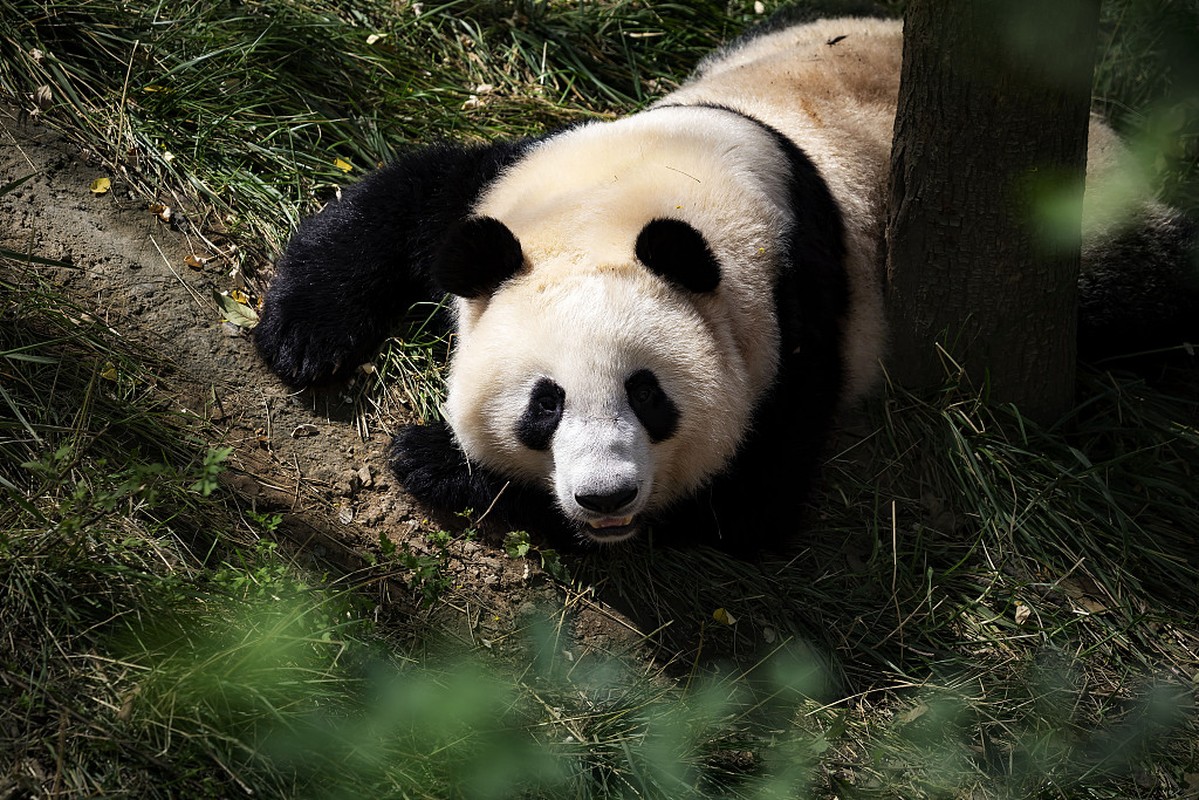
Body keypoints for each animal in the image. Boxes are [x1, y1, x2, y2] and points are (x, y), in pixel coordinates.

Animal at [255, 14, 1199, 551]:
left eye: (649, 396)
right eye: (544, 404)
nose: (604, 495)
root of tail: (1098, 123)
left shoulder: (797, 316)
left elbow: (745, 505)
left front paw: (434, 459)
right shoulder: (521, 182)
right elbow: (407, 197)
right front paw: (298, 341)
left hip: (1080, 226)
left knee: (1142, 287)